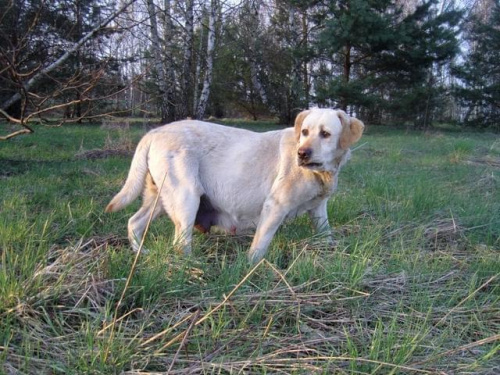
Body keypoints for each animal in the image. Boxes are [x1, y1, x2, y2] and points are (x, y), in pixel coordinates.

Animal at [106, 108, 364, 264]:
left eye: (325, 134)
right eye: (305, 132)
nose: (301, 154)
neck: (321, 173)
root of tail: (153, 132)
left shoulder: (319, 209)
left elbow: (325, 232)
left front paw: (330, 252)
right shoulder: (275, 207)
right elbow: (260, 245)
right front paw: (252, 267)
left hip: (159, 199)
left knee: (134, 222)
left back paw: (141, 253)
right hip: (186, 198)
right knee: (180, 243)